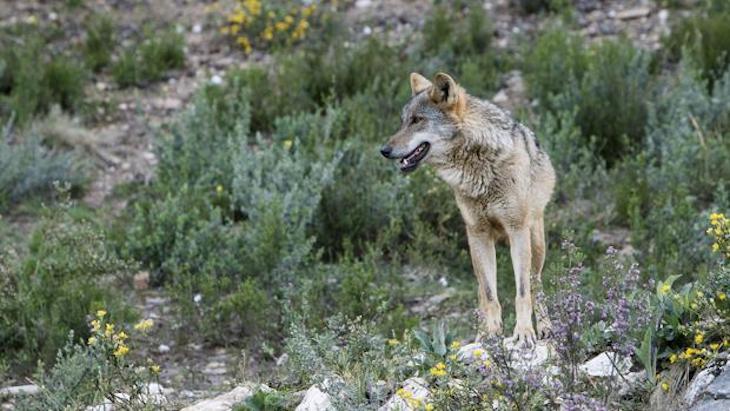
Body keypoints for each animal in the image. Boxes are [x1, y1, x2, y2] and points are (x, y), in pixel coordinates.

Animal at [380, 72, 556, 347]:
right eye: (402, 122)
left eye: (417, 120)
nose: (384, 151)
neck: (479, 165)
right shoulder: (478, 233)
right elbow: (489, 294)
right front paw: (492, 335)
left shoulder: (516, 230)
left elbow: (521, 292)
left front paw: (524, 333)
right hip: (476, 247)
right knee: (481, 292)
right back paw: (480, 334)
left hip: (535, 243)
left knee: (535, 285)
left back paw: (546, 329)